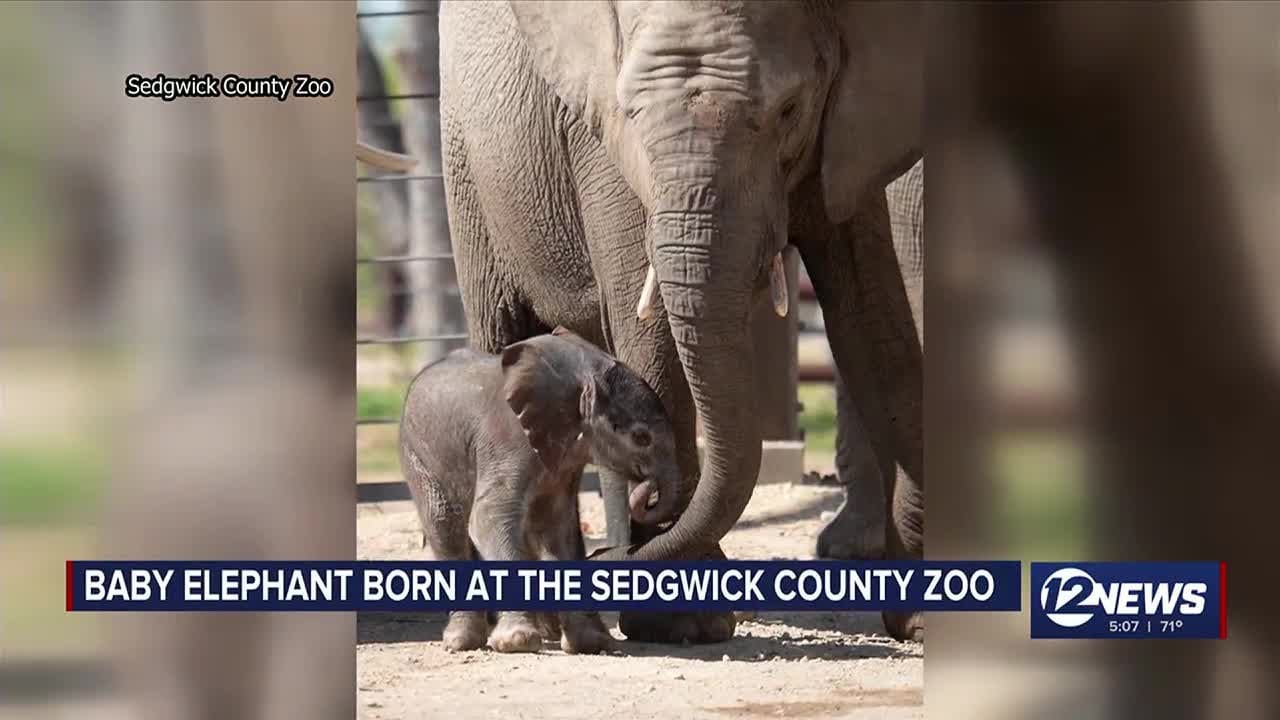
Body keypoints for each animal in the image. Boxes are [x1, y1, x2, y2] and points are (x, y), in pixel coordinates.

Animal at [399, 327, 682, 654]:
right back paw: (461, 642)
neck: (580, 375)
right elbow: (488, 519)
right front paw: (518, 642)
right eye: (641, 437)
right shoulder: (508, 442)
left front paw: (591, 643)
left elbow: (557, 526)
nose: (647, 487)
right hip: (417, 456)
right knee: (445, 525)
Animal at [438, 0, 924, 642]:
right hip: (468, 167)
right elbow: (651, 336)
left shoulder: (846, 135)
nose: (650, 498)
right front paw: (683, 624)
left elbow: (874, 325)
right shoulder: (605, 145)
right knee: (505, 333)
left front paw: (921, 618)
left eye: (790, 110)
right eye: (631, 110)